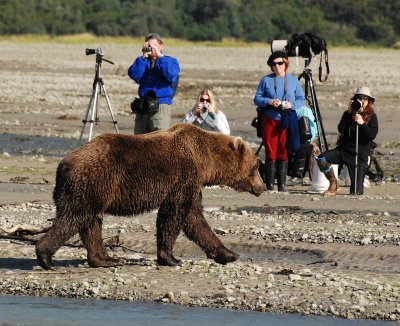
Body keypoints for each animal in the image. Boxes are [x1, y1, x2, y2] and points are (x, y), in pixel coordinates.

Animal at [36, 123, 264, 268]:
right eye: (256, 166)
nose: (262, 187)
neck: (206, 161)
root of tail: (63, 165)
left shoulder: (191, 183)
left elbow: (195, 219)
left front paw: (229, 254)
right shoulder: (184, 176)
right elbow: (174, 215)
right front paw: (171, 258)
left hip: (96, 188)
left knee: (91, 222)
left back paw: (105, 260)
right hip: (94, 179)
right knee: (75, 216)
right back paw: (45, 257)